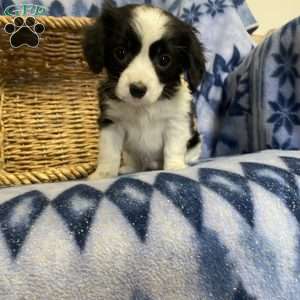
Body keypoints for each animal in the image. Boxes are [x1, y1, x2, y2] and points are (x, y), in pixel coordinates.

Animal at [84, 2, 206, 179]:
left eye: (164, 59)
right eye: (120, 52)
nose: (137, 89)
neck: (143, 107)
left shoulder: (176, 121)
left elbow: (173, 147)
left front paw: (174, 167)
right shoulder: (112, 122)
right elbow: (109, 152)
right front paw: (104, 173)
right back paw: (130, 167)